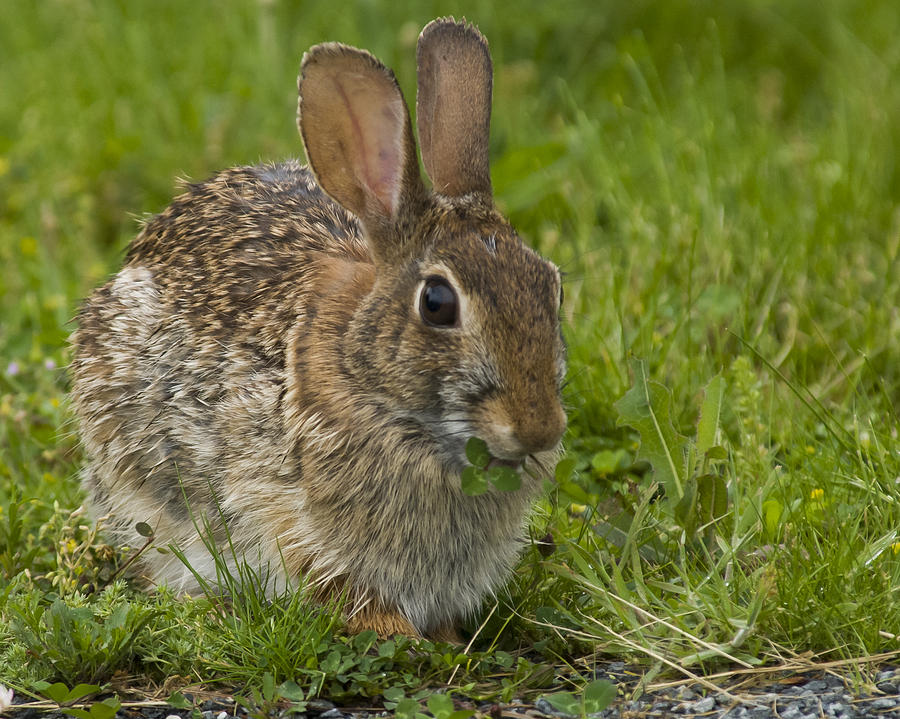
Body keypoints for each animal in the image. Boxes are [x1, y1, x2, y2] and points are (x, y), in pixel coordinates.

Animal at [70, 16, 568, 640]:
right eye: (436, 304)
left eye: (551, 285)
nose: (539, 429)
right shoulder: (286, 516)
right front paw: (402, 636)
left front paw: (449, 639)